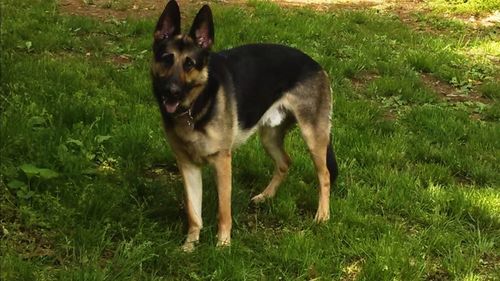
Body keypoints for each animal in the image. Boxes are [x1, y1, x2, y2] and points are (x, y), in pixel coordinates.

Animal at [151, 0, 340, 249]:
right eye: (166, 58)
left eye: (189, 64)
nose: (170, 92)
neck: (196, 106)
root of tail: (316, 64)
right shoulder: (187, 166)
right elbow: (193, 212)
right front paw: (190, 245)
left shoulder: (222, 162)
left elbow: (224, 210)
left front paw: (223, 245)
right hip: (269, 137)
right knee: (285, 162)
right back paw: (266, 196)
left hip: (313, 138)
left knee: (324, 174)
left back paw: (323, 216)